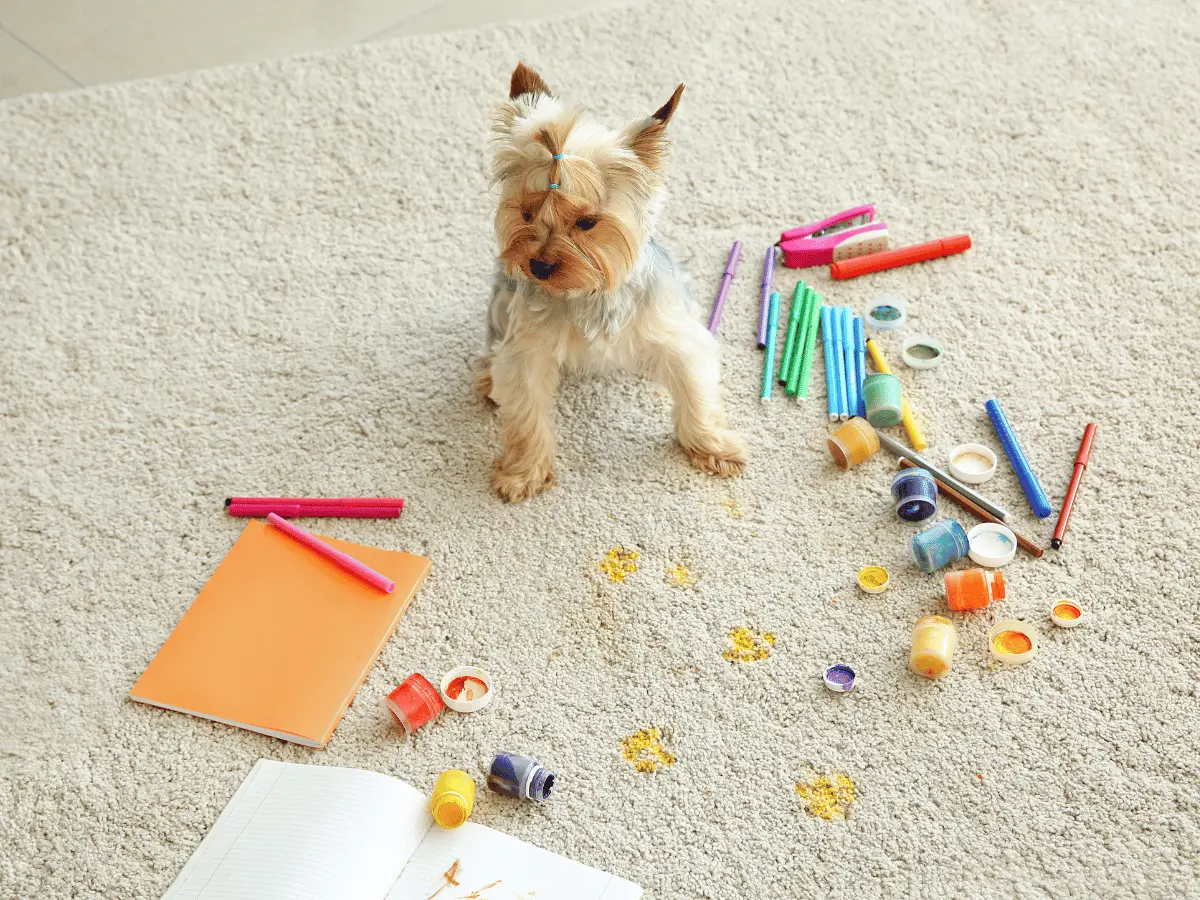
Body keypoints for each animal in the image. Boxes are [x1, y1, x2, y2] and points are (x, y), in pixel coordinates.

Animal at [480, 63, 744, 504]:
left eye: (587, 222)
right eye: (527, 213)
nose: (538, 265)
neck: (589, 292)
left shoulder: (678, 336)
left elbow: (695, 392)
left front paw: (712, 446)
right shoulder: (526, 353)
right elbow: (527, 416)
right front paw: (523, 472)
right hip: (501, 300)